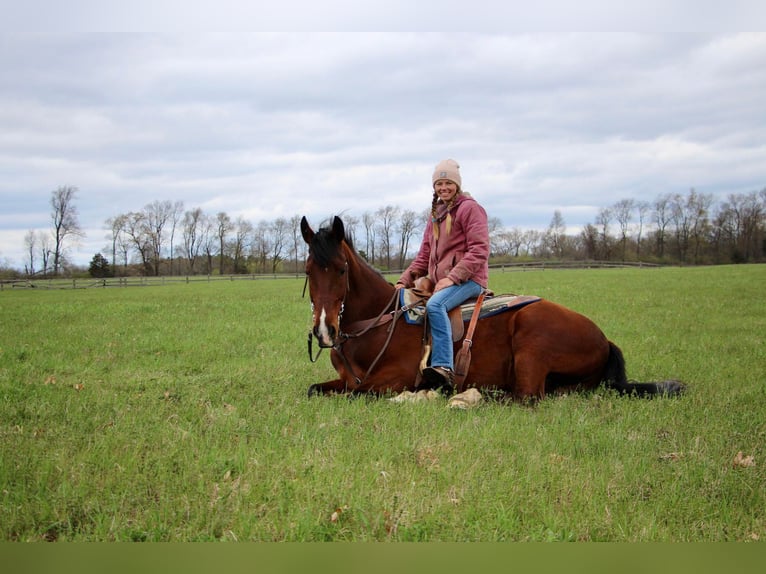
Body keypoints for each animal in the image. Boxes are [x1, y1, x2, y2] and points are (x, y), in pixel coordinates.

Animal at [298, 215, 684, 400]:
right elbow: (315, 389)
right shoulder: (344, 379)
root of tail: (604, 340)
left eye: (342, 269)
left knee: (525, 398)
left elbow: (358, 394)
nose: (325, 330)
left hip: (532, 342)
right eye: (308, 270)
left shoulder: (394, 380)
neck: (377, 324)